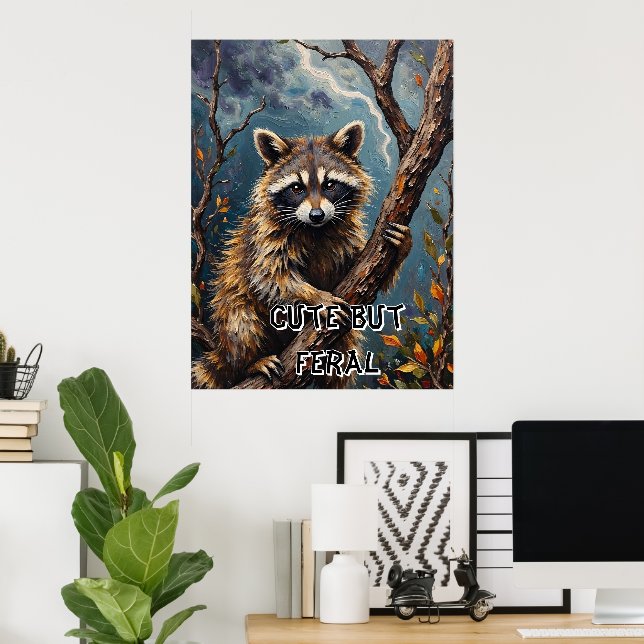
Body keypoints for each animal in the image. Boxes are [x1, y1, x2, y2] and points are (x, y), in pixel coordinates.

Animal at [192, 120, 411, 389]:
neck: (316, 229)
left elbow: (374, 272)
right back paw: (249, 362)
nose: (316, 215)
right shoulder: (266, 237)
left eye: (330, 185)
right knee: (241, 322)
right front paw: (317, 298)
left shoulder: (348, 240)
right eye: (296, 188)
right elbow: (271, 278)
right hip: (232, 318)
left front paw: (402, 247)